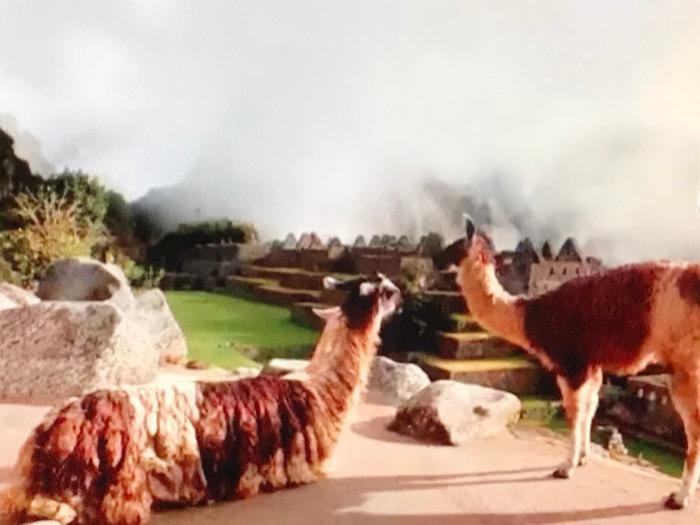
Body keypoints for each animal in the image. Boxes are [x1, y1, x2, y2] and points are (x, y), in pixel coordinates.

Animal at [0, 274, 401, 524]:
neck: (318, 389)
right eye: (386, 290)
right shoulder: (307, 467)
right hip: (111, 491)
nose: (402, 295)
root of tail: (48, 432)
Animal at [444, 217, 700, 510]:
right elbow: (590, 409)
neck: (529, 316)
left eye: (454, 244)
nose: (437, 257)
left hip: (686, 365)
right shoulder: (591, 364)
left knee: (695, 431)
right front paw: (583, 458)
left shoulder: (571, 364)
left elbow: (573, 415)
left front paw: (565, 468)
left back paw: (679, 498)